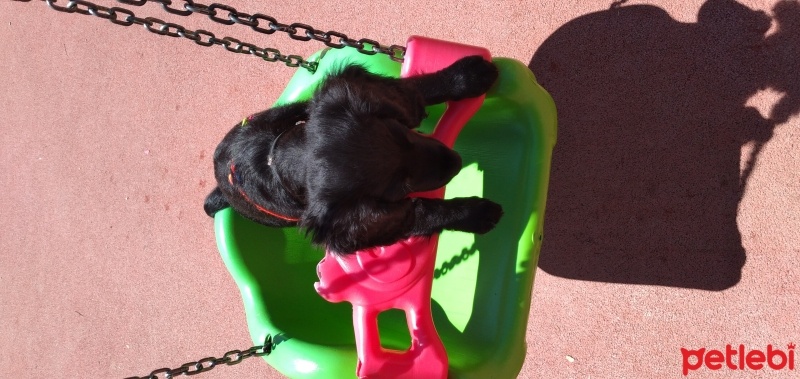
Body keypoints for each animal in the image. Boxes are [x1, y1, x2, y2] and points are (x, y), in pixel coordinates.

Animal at [206, 55, 506, 254]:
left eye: (403, 132)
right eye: (401, 186)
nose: (457, 162)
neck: (275, 160)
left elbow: (417, 90)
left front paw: (466, 77)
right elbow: (421, 210)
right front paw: (474, 213)